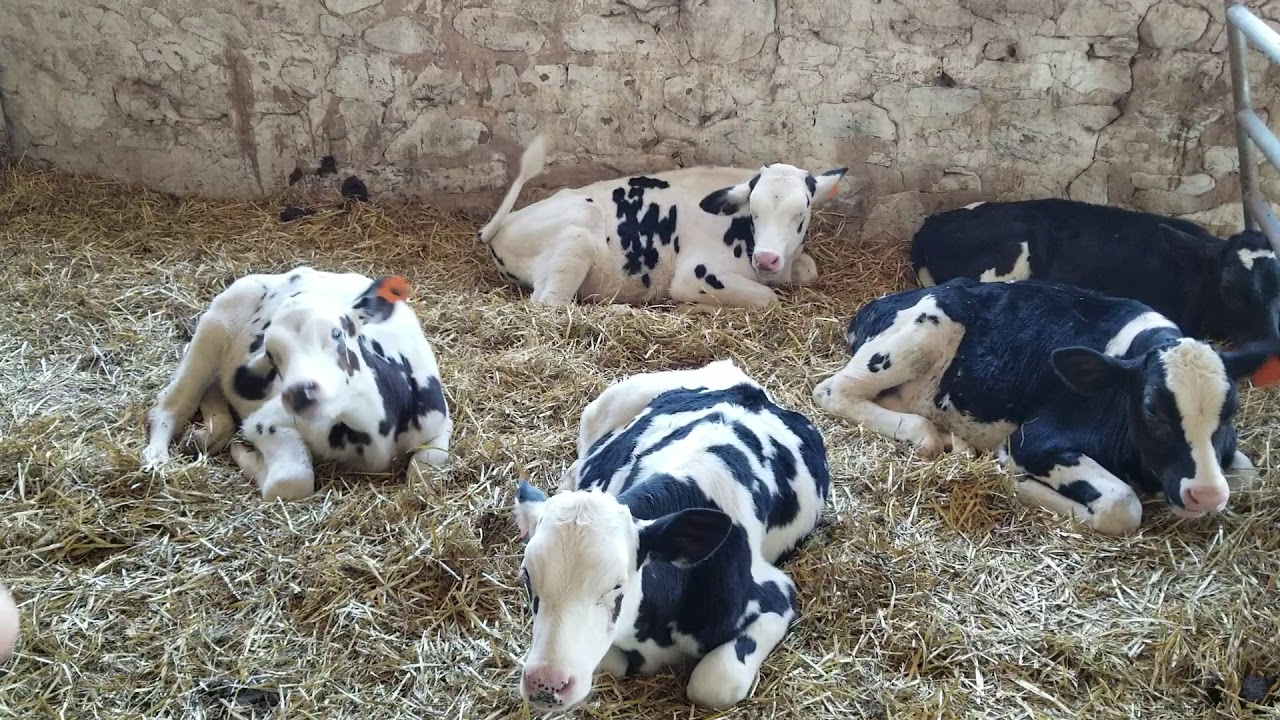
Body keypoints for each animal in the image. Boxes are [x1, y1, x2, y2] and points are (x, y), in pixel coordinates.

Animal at [142, 266, 452, 502]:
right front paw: (246, 456)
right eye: (271, 354)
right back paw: (157, 459)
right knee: (172, 403)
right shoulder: (265, 420)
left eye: (338, 333)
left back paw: (205, 435)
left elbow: (423, 476)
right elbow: (291, 480)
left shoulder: (440, 424)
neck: (373, 434)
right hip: (213, 327)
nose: (299, 392)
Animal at [476, 135, 848, 309]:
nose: (766, 259)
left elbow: (809, 271)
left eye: (801, 212)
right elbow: (767, 298)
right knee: (551, 304)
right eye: (754, 211)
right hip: (577, 239)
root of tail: (503, 226)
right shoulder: (696, 275)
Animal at [511, 360, 830, 711]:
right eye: (527, 576)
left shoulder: (778, 594)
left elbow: (716, 683)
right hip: (604, 407)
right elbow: (611, 664)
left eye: (617, 585)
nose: (546, 683)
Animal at [812, 278, 1278, 536]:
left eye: (1231, 409)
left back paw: (954, 441)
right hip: (924, 330)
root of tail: (881, 301)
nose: (1206, 494)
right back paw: (926, 434)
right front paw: (1017, 482)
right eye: (1151, 409)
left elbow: (1249, 475)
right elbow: (1121, 506)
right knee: (834, 391)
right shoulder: (1034, 439)